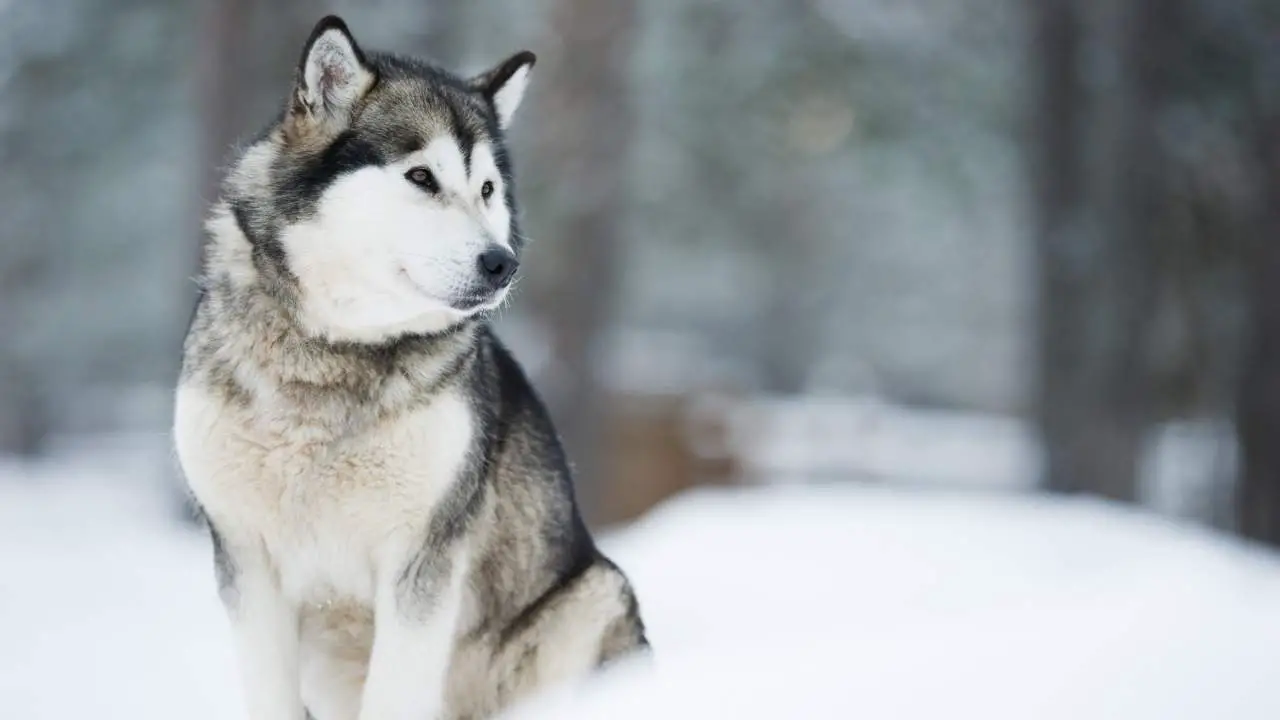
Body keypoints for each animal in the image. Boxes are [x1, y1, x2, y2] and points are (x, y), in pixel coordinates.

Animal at [171, 16, 650, 717]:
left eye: (487, 190)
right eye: (421, 178)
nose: (502, 263)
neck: (335, 354)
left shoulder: (422, 562)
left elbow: (395, 692)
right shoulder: (245, 561)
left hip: (591, 596)